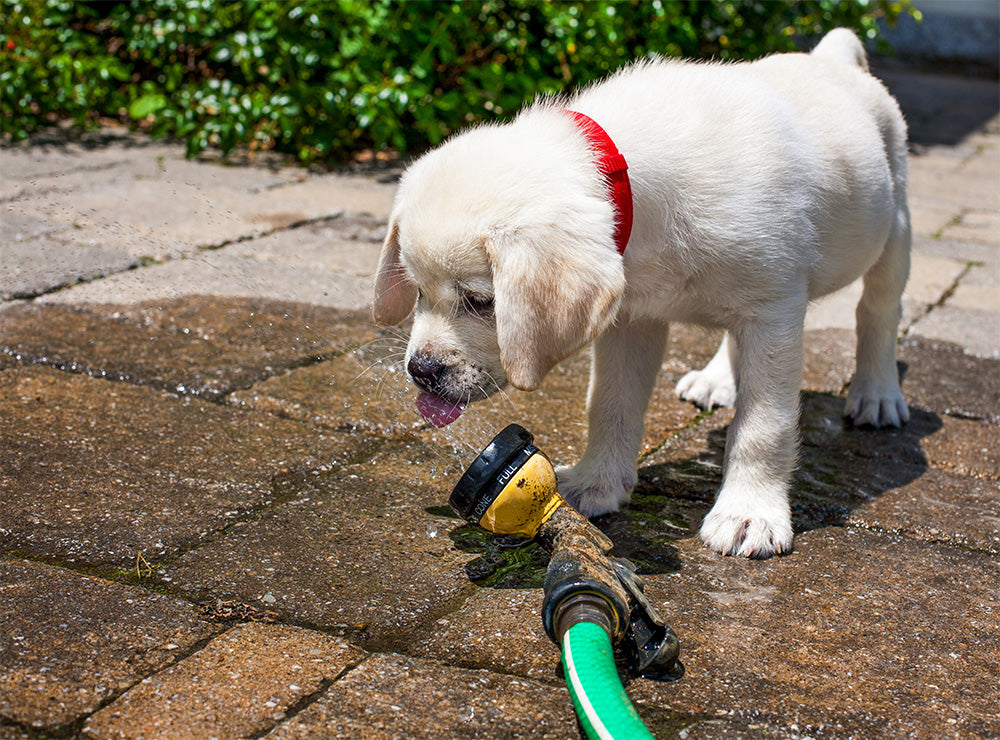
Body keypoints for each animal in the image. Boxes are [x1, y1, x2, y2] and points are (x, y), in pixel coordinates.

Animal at [372, 30, 912, 560]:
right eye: (417, 293)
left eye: (482, 302)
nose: (421, 371)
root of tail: (830, 57)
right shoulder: (632, 320)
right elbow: (610, 405)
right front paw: (596, 482)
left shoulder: (773, 313)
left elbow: (763, 424)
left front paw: (749, 513)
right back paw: (717, 379)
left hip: (894, 230)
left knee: (878, 313)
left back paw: (877, 393)